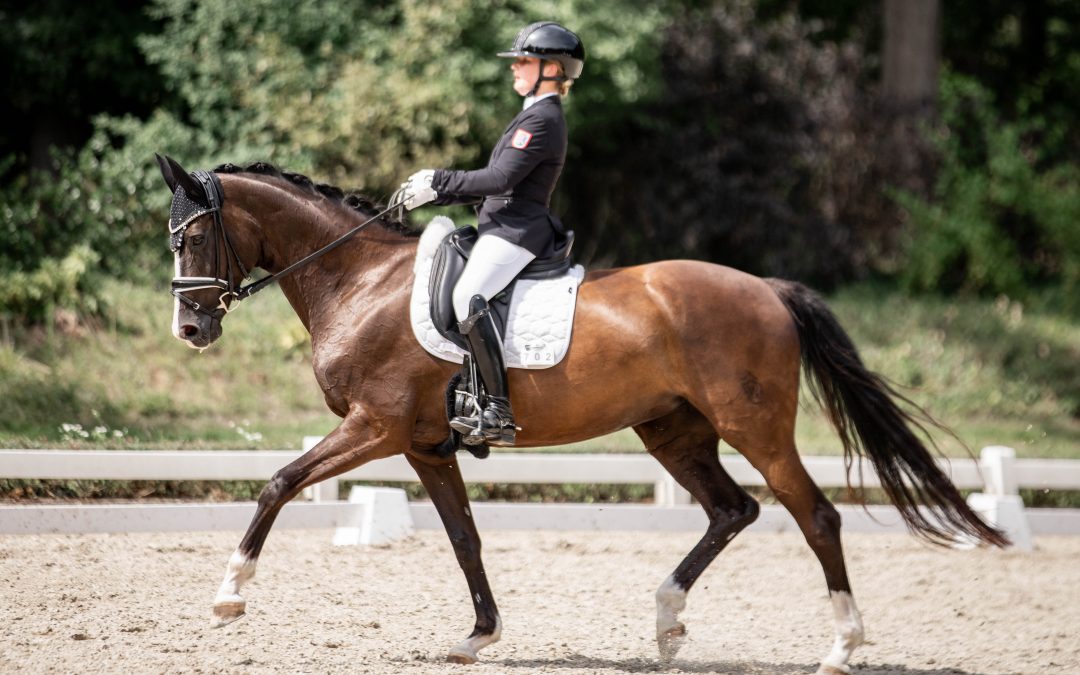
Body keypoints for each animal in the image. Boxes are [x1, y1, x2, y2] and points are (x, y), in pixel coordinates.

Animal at [155, 154, 1007, 675]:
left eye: (192, 236)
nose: (189, 329)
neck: (359, 282)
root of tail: (766, 287)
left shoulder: (376, 426)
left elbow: (278, 481)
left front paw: (229, 593)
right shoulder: (426, 446)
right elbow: (463, 538)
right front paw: (478, 635)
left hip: (754, 427)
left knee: (815, 515)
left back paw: (841, 644)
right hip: (672, 429)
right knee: (732, 509)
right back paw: (666, 621)